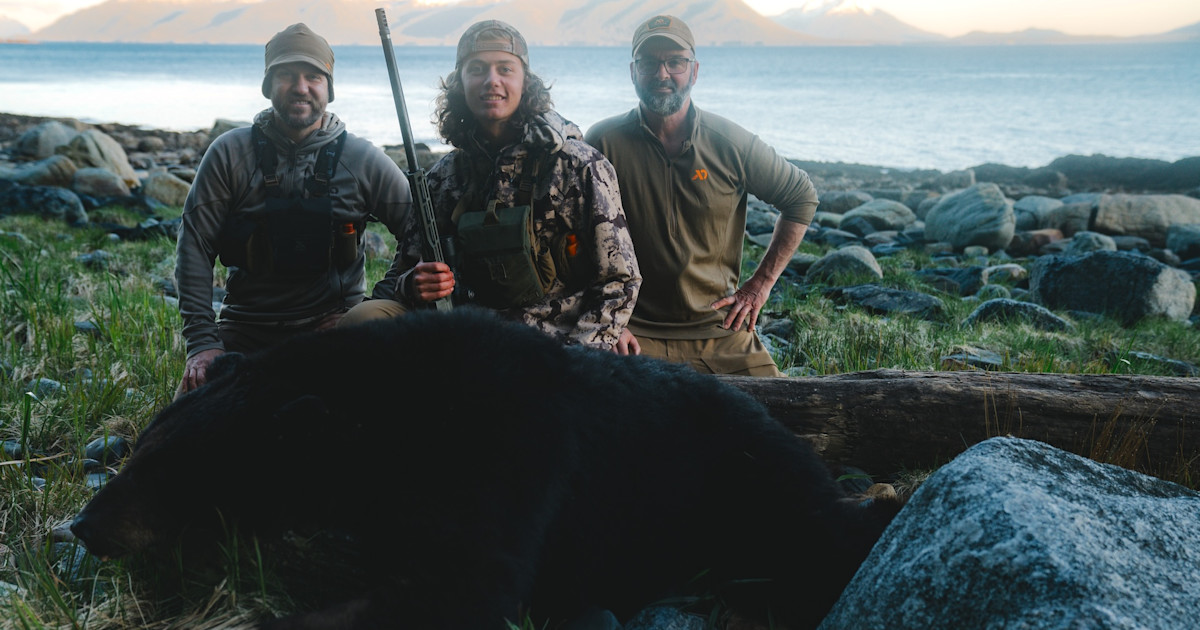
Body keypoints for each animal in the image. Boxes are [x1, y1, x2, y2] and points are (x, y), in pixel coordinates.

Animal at [70, 306, 901, 629]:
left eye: (164, 467)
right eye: (140, 448)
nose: (83, 524)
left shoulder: (512, 446)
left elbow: (467, 582)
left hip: (746, 485)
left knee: (816, 544)